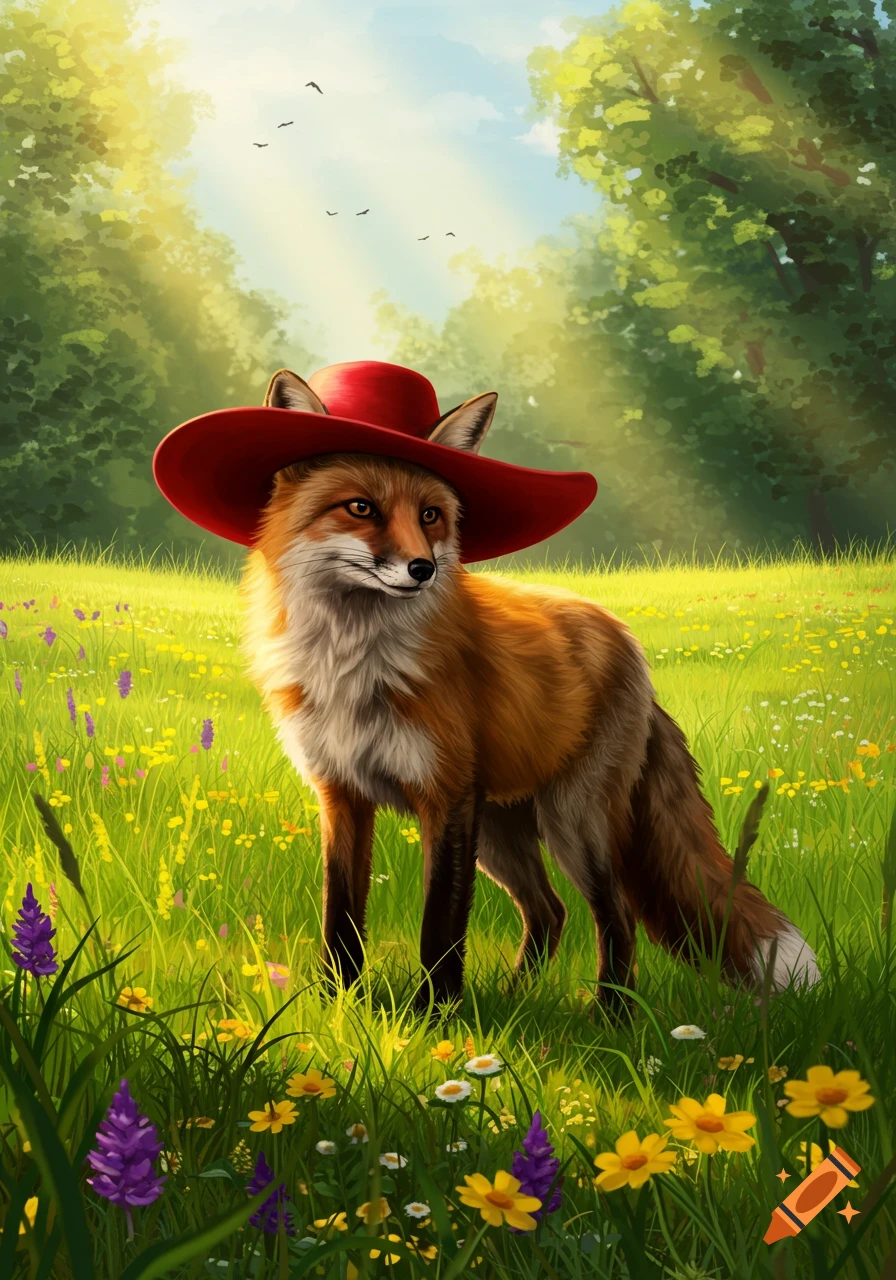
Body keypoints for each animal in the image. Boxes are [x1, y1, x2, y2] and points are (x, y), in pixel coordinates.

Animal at [240, 367, 821, 1009]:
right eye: (361, 508)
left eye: (430, 516)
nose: (424, 570)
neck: (354, 665)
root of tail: (629, 644)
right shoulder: (341, 793)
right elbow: (340, 916)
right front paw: (335, 1005)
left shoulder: (446, 798)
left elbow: (440, 925)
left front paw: (433, 1016)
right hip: (500, 830)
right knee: (549, 911)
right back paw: (517, 999)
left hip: (571, 821)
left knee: (615, 915)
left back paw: (610, 1014)